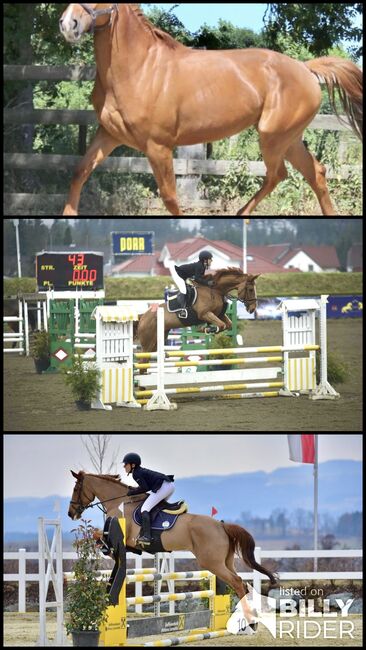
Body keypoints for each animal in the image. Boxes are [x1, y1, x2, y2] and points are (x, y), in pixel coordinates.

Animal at [60, 3, 364, 215]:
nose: (67, 24)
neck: (139, 68)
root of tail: (305, 69)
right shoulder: (108, 135)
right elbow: (78, 174)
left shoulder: (158, 146)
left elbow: (170, 198)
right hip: (289, 140)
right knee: (315, 173)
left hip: (272, 137)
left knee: (278, 175)